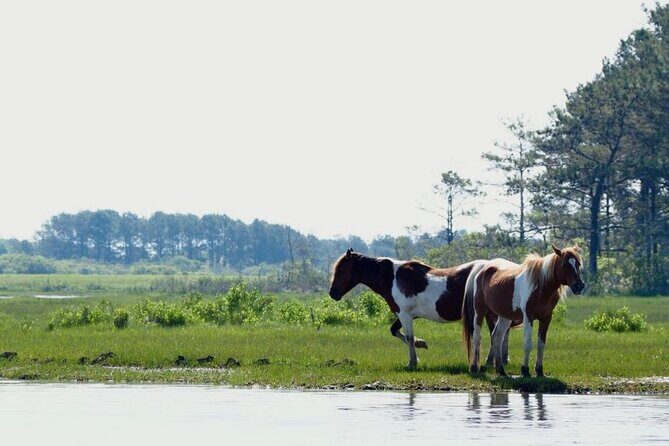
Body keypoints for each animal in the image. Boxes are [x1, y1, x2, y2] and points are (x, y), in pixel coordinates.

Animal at [328, 249, 507, 370]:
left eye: (342, 270)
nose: (332, 293)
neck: (392, 277)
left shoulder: (405, 314)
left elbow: (408, 337)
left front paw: (412, 362)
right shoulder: (405, 315)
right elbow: (395, 331)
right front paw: (421, 344)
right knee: (496, 334)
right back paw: (493, 362)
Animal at [462, 244, 585, 377]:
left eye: (578, 264)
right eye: (564, 265)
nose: (579, 286)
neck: (541, 286)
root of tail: (481, 271)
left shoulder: (546, 318)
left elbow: (541, 344)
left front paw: (539, 370)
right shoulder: (528, 317)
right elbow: (527, 343)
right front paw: (525, 370)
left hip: (505, 316)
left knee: (497, 337)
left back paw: (501, 370)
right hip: (479, 311)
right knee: (477, 337)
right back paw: (474, 367)